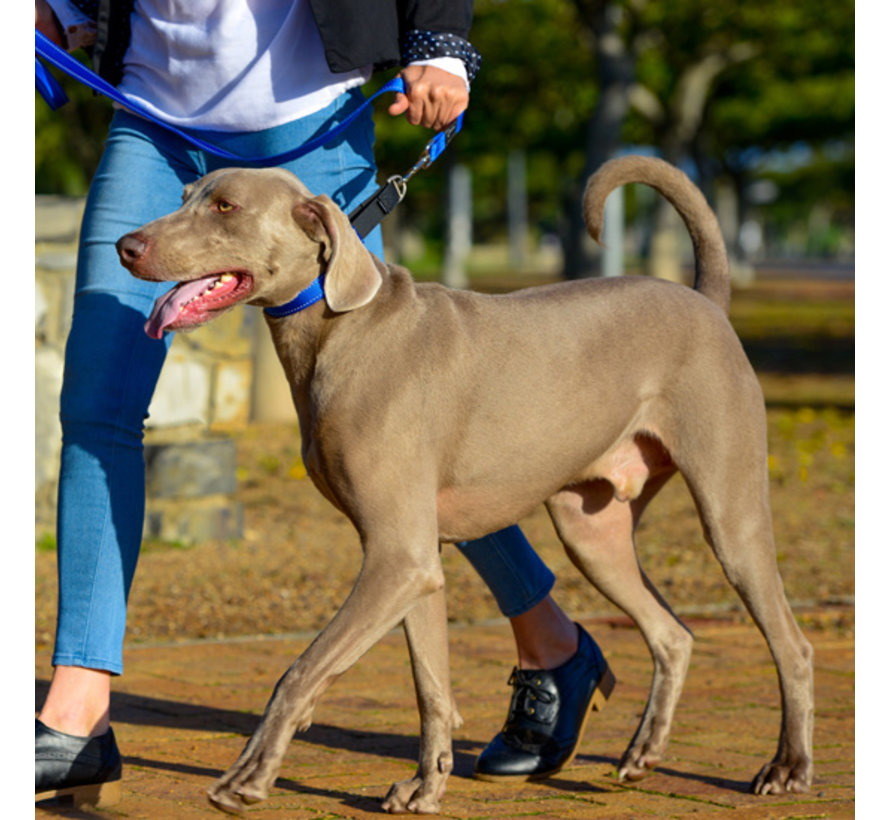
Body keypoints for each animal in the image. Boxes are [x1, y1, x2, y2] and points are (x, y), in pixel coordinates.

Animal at [116, 155, 812, 812]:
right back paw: (643, 752)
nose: (125, 245)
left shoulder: (398, 558)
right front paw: (426, 788)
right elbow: (430, 688)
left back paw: (788, 768)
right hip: (590, 531)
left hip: (730, 512)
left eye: (226, 207)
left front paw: (248, 778)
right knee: (673, 635)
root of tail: (706, 301)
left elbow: (301, 670)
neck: (339, 328)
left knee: (790, 644)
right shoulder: (416, 563)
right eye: (184, 195)